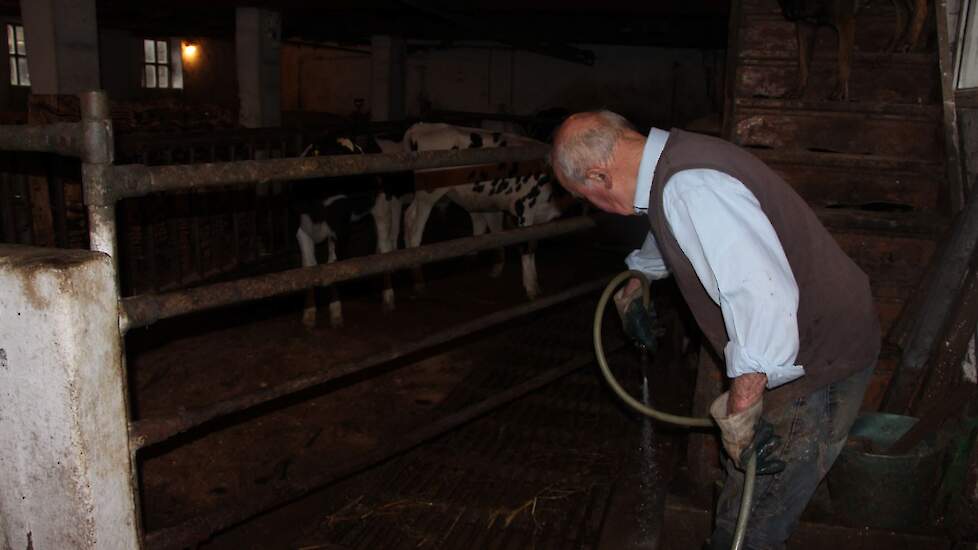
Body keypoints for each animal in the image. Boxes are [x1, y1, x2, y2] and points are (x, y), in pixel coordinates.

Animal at [292, 136, 410, 330]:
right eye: (341, 157)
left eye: (359, 152)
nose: (374, 180)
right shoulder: (302, 231)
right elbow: (308, 269)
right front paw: (308, 315)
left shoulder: (340, 233)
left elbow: (335, 267)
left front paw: (335, 313)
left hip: (383, 211)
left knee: (385, 250)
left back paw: (388, 298)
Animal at [402, 123, 572, 302]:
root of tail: (420, 127)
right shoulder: (523, 207)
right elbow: (526, 247)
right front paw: (531, 288)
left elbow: (531, 245)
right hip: (427, 194)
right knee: (414, 230)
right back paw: (419, 282)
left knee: (407, 217)